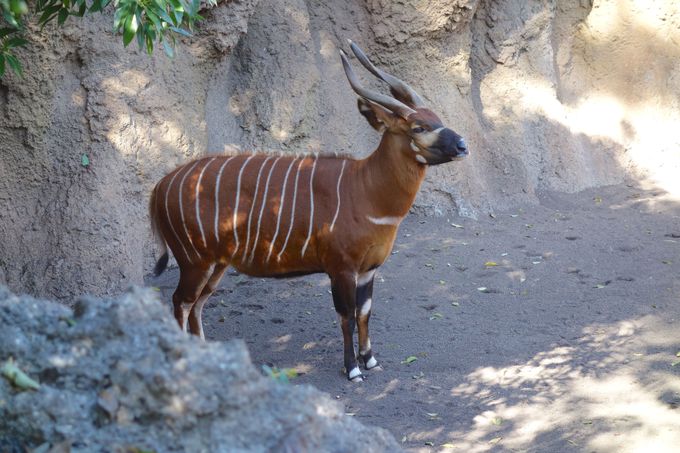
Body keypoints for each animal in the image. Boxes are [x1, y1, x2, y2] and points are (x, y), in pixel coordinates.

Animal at [149, 39, 468, 382]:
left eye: (438, 117)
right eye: (419, 127)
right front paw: (353, 369)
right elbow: (346, 316)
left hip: (216, 263)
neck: (365, 189)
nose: (463, 146)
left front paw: (370, 360)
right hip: (195, 261)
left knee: (197, 304)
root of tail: (160, 186)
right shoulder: (341, 268)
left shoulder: (369, 269)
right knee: (180, 302)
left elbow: (365, 312)